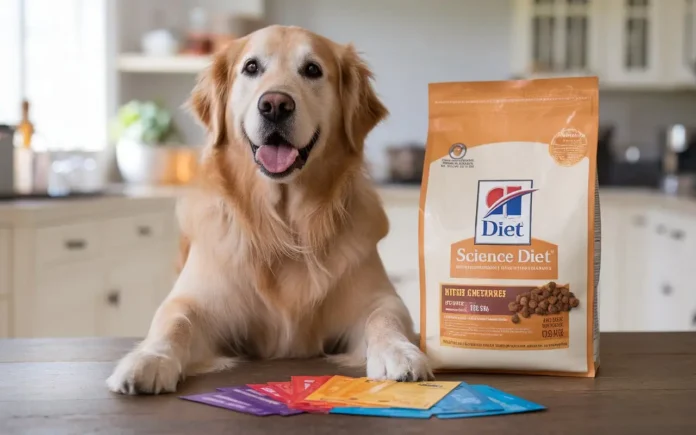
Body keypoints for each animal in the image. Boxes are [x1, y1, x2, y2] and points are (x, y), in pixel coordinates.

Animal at [106, 25, 430, 396]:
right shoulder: (195, 301)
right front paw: (149, 359)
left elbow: (385, 318)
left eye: (312, 69)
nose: (275, 105)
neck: (284, 225)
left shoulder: (378, 298)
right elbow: (174, 320)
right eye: (251, 67)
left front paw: (399, 352)